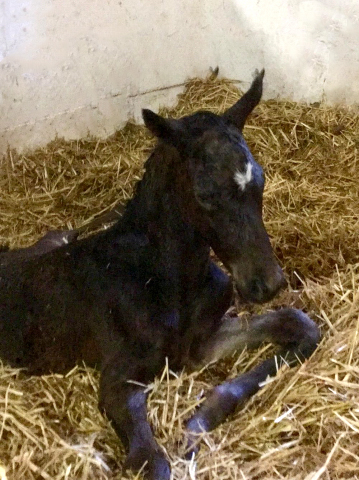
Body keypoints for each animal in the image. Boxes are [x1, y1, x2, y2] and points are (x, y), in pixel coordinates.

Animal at [0, 69, 320, 478]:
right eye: (205, 195)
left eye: (260, 180)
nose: (268, 283)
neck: (163, 278)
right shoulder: (118, 382)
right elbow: (152, 462)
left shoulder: (198, 345)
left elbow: (299, 325)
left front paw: (197, 423)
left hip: (51, 241)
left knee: (61, 232)